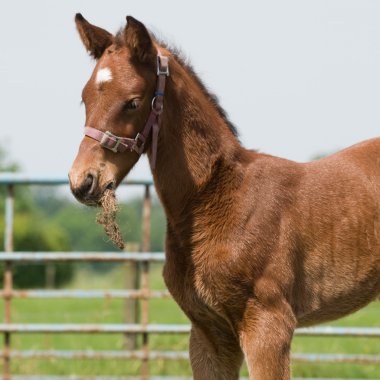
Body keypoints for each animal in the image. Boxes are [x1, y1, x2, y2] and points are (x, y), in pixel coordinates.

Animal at [69, 14, 380, 378]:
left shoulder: (268, 325)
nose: (82, 181)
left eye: (133, 101)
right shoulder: (209, 332)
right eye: (85, 98)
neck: (218, 198)